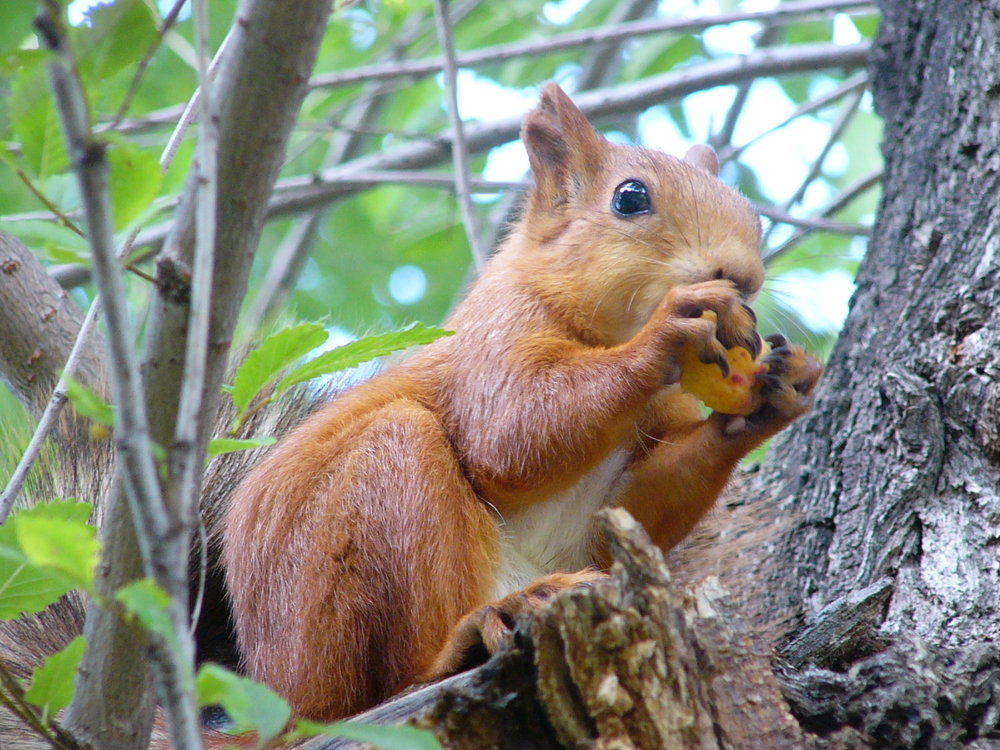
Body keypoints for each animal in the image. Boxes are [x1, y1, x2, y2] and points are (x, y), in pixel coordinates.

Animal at [223, 82, 824, 724]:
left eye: (753, 214)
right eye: (630, 198)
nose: (743, 277)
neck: (603, 332)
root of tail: (274, 693)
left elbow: (633, 511)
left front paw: (776, 392)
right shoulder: (495, 340)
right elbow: (510, 435)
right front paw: (668, 329)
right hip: (362, 538)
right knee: (390, 678)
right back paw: (474, 631)